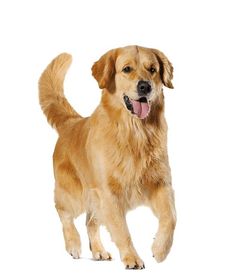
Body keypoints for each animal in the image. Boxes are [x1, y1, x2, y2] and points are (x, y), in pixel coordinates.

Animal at [38, 45, 175, 268]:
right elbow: (121, 230)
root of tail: (71, 122)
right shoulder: (109, 193)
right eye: (127, 69)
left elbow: (171, 217)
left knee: (90, 222)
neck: (135, 132)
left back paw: (98, 250)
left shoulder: (160, 183)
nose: (145, 86)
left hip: (94, 197)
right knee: (63, 212)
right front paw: (132, 258)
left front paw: (160, 249)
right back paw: (73, 244)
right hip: (74, 192)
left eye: (153, 69)